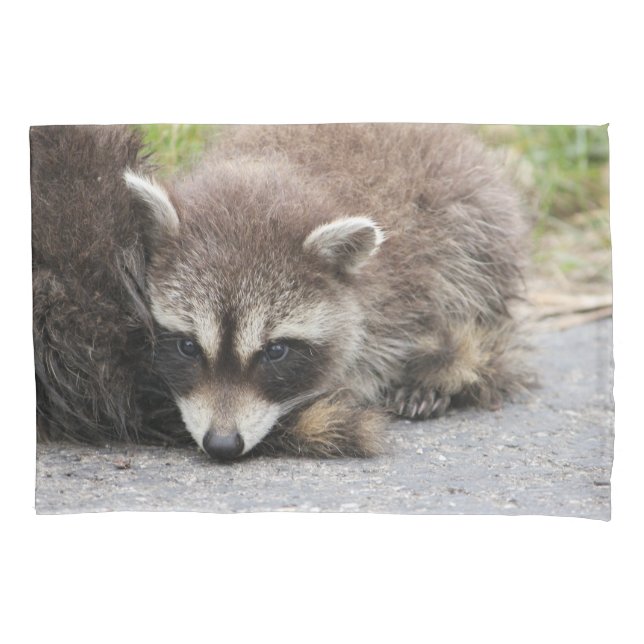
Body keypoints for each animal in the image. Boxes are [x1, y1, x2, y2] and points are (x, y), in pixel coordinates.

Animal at [32, 124, 530, 461]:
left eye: (275, 352)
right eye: (188, 347)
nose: (222, 444)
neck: (271, 174)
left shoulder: (400, 288)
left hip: (474, 218)